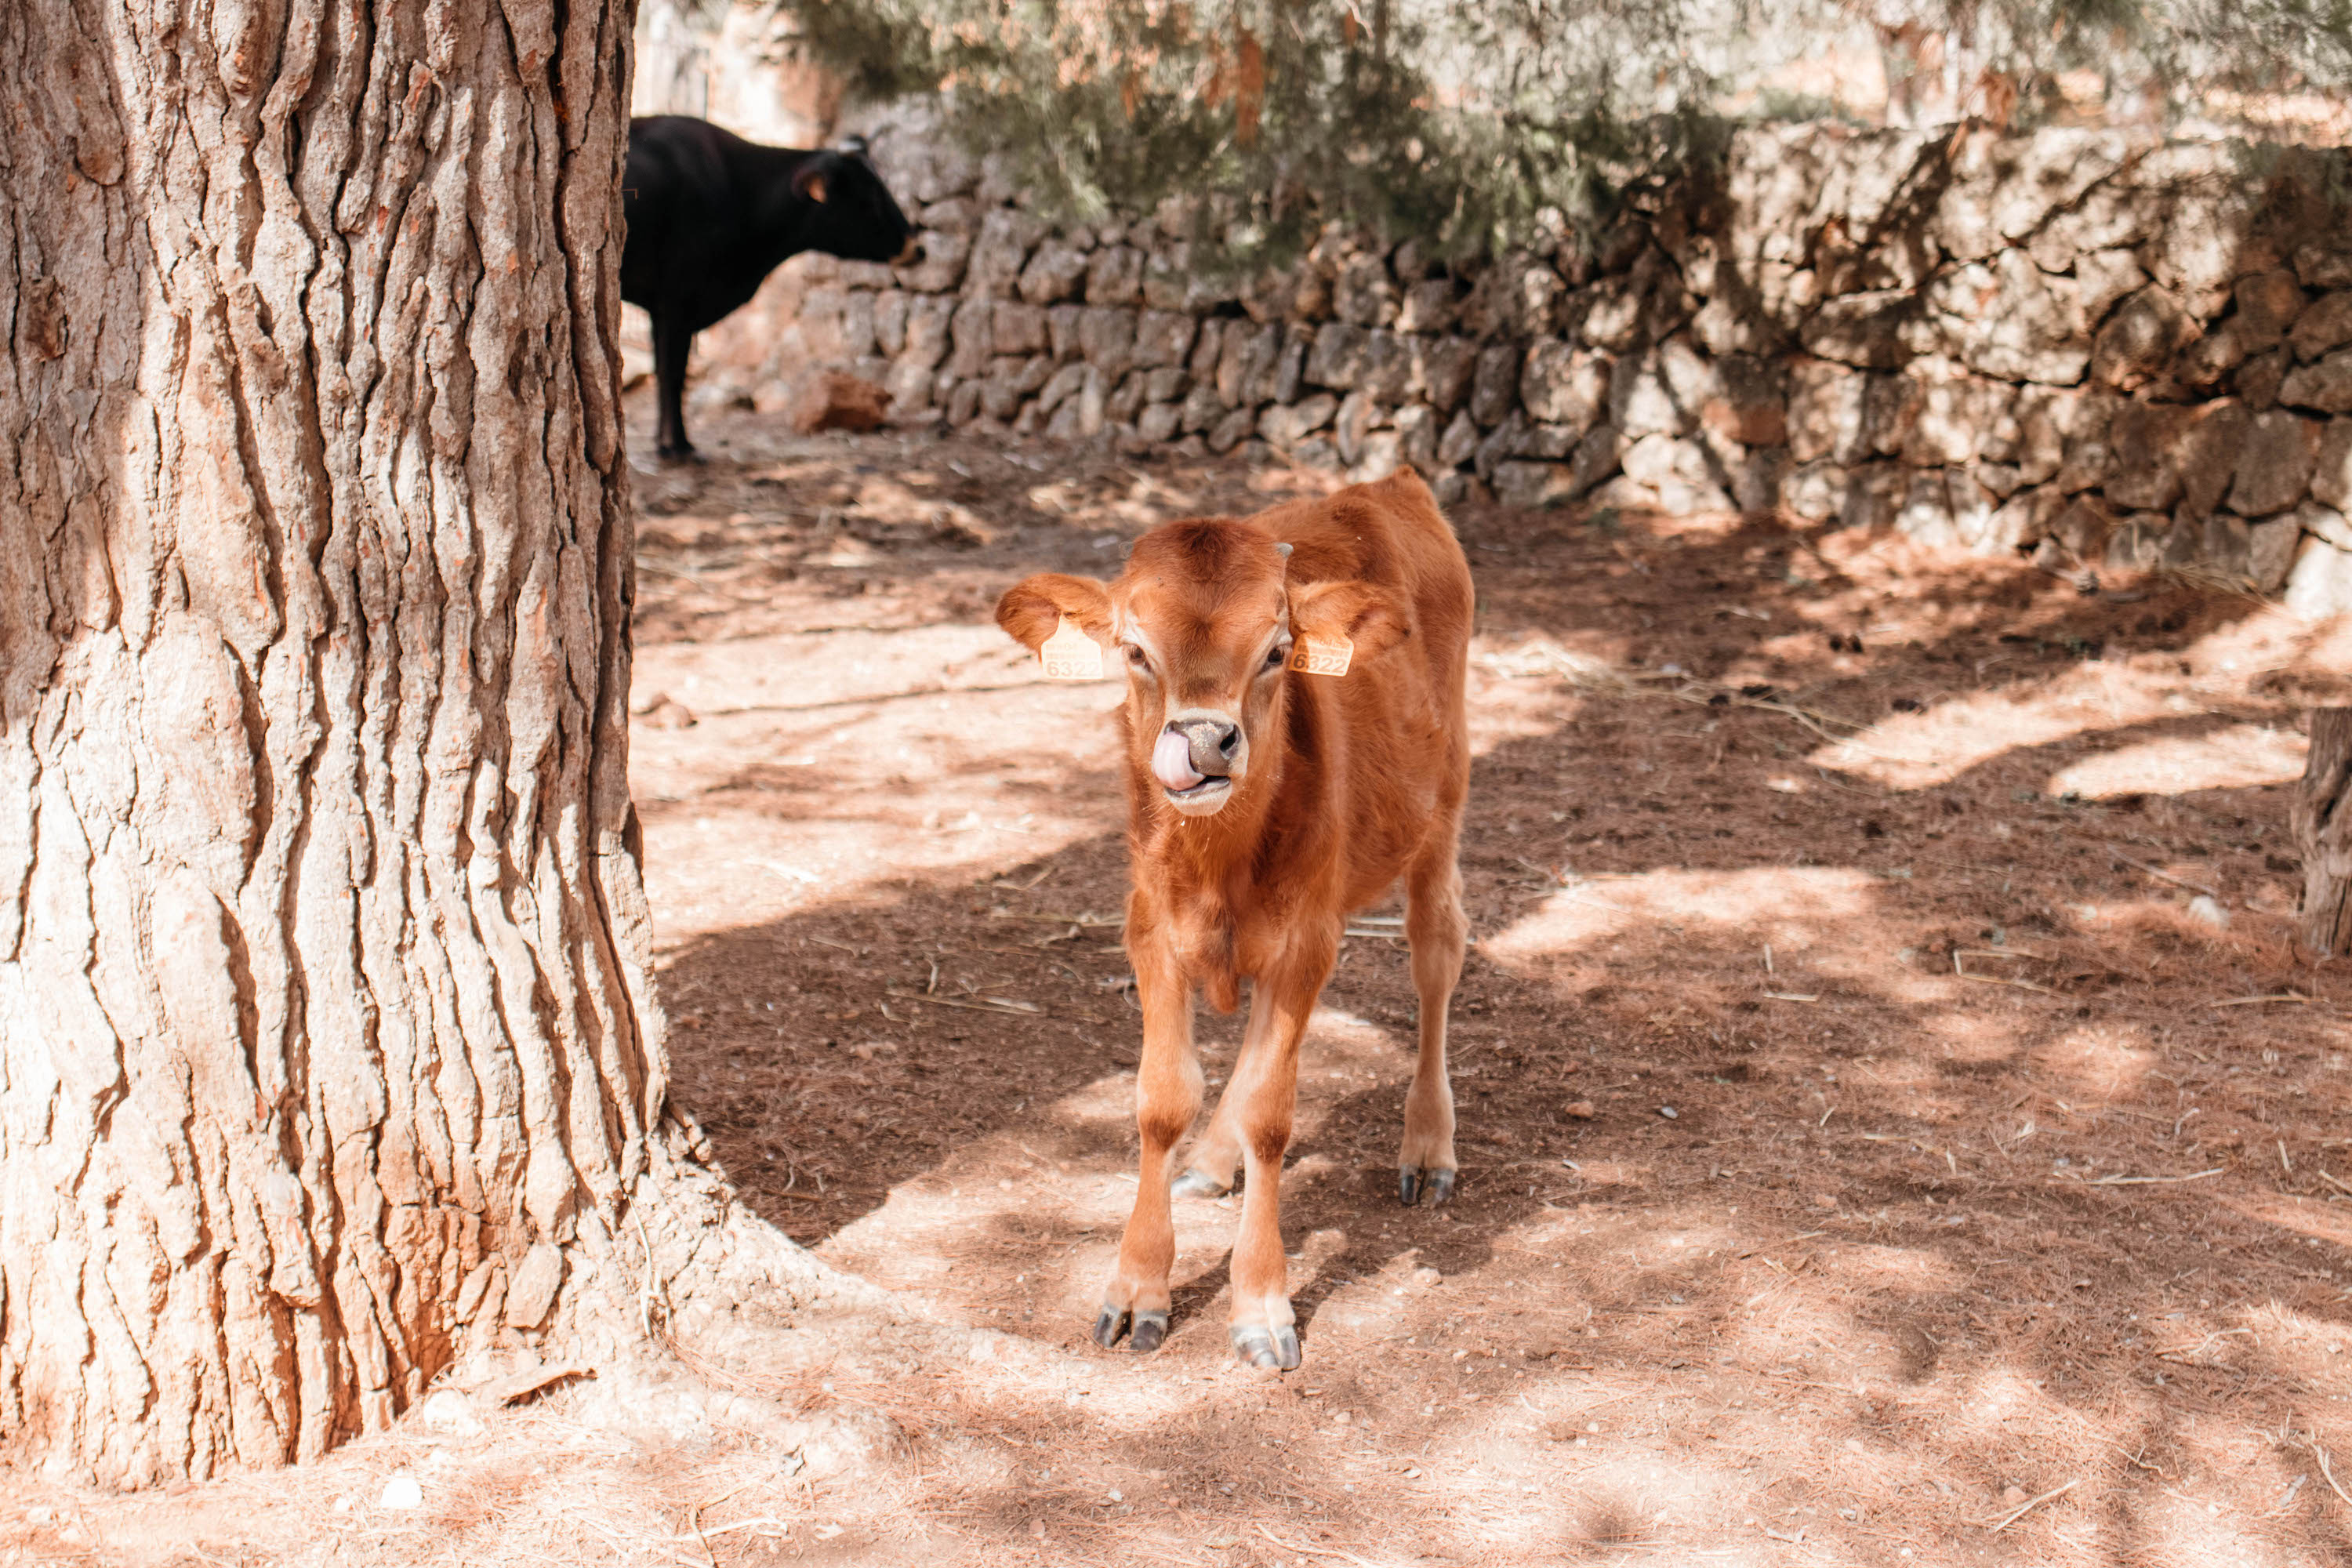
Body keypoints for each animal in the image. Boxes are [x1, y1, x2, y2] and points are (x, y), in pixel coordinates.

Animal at [621, 115, 922, 460]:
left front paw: (664, 443)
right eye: (869, 197)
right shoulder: (677, 301)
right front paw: (679, 446)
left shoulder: (661, 308)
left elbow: (663, 372)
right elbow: (673, 374)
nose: (916, 246)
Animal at [993, 472, 1468, 1363]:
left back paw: (1428, 1146)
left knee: (1437, 955)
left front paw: (1261, 1304)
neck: (1216, 863)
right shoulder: (1150, 930)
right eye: (1135, 650)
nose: (1207, 742)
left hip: (1442, 806)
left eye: (1277, 651)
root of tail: (1386, 483)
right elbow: (1164, 1099)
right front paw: (1137, 1286)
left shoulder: (1305, 942)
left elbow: (1270, 1115)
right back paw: (1212, 1164)